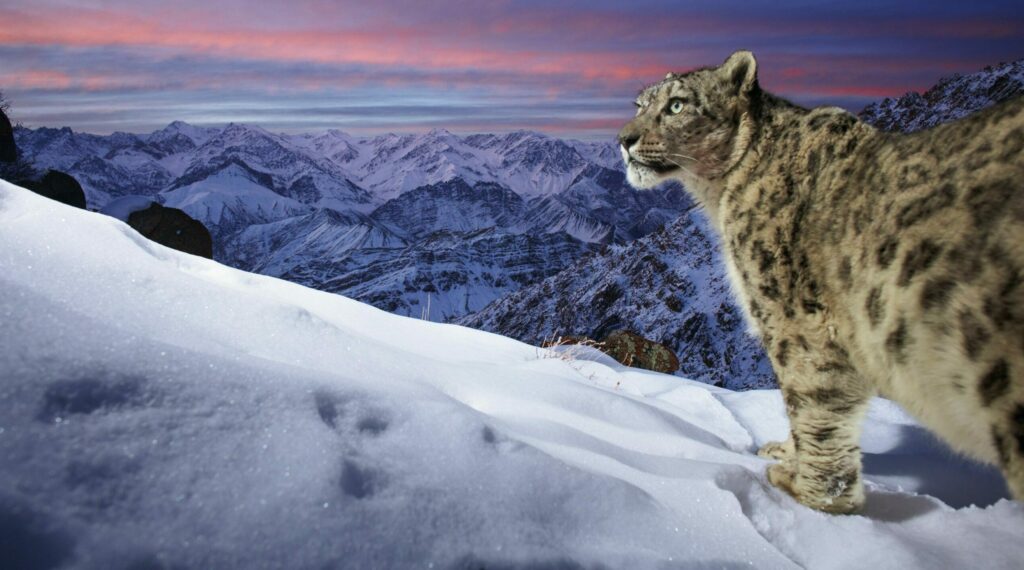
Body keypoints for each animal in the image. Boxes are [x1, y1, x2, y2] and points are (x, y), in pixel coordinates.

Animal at [618, 51, 1024, 513]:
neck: (719, 196)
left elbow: (813, 403)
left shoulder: (794, 319)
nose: (625, 139)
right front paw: (786, 455)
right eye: (640, 104)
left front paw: (809, 494)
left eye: (677, 105)